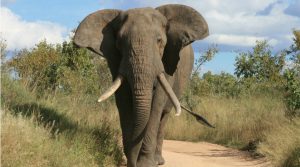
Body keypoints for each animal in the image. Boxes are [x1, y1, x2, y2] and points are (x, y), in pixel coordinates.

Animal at [73, 4, 209, 167]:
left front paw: (145, 163)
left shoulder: (166, 63)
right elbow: (124, 103)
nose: (132, 163)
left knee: (164, 116)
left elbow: (155, 106)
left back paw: (158, 161)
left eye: (159, 41)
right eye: (119, 43)